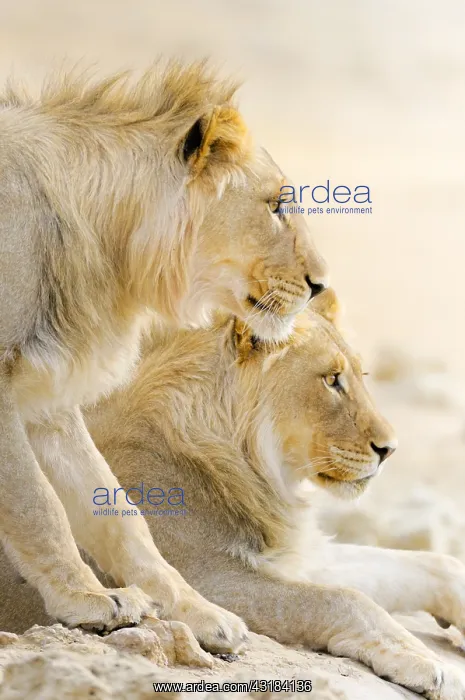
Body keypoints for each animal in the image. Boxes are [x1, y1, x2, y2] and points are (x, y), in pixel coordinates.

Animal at [0, 62, 328, 651]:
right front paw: (87, 601)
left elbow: (117, 512)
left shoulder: (47, 395)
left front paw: (201, 613)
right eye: (275, 205)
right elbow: (37, 504)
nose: (321, 284)